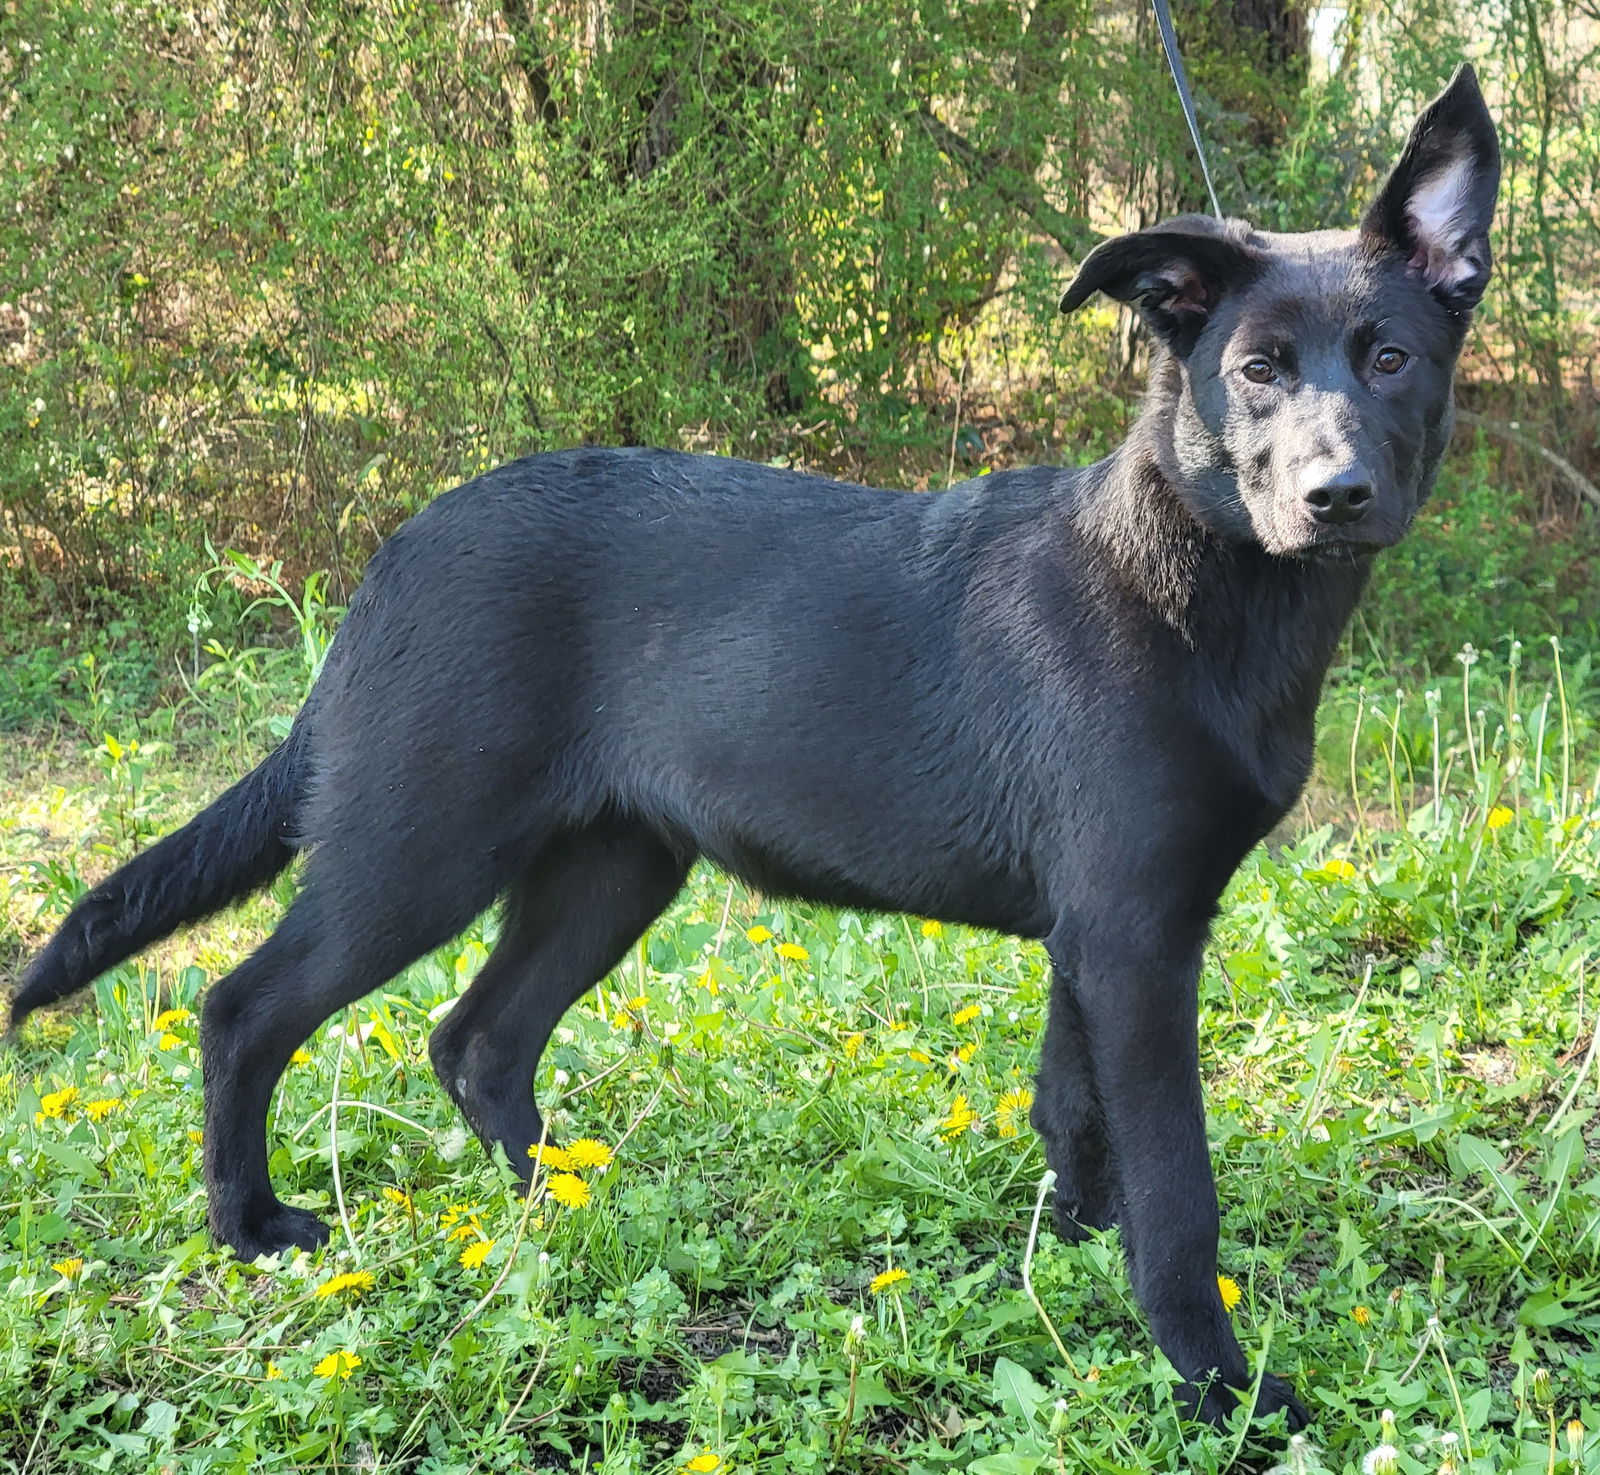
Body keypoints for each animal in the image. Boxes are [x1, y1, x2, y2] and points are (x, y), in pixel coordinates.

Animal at [9, 65, 1497, 1427]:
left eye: (1390, 357)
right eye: (1254, 371)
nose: (1336, 494)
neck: (1197, 581)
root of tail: (400, 552)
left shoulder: (1098, 930)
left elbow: (1074, 1115)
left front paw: (1071, 1260)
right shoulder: (1135, 932)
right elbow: (1177, 1186)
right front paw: (1220, 1383)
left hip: (608, 866)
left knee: (477, 1037)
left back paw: (565, 1199)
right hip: (415, 844)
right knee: (244, 1007)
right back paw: (253, 1224)